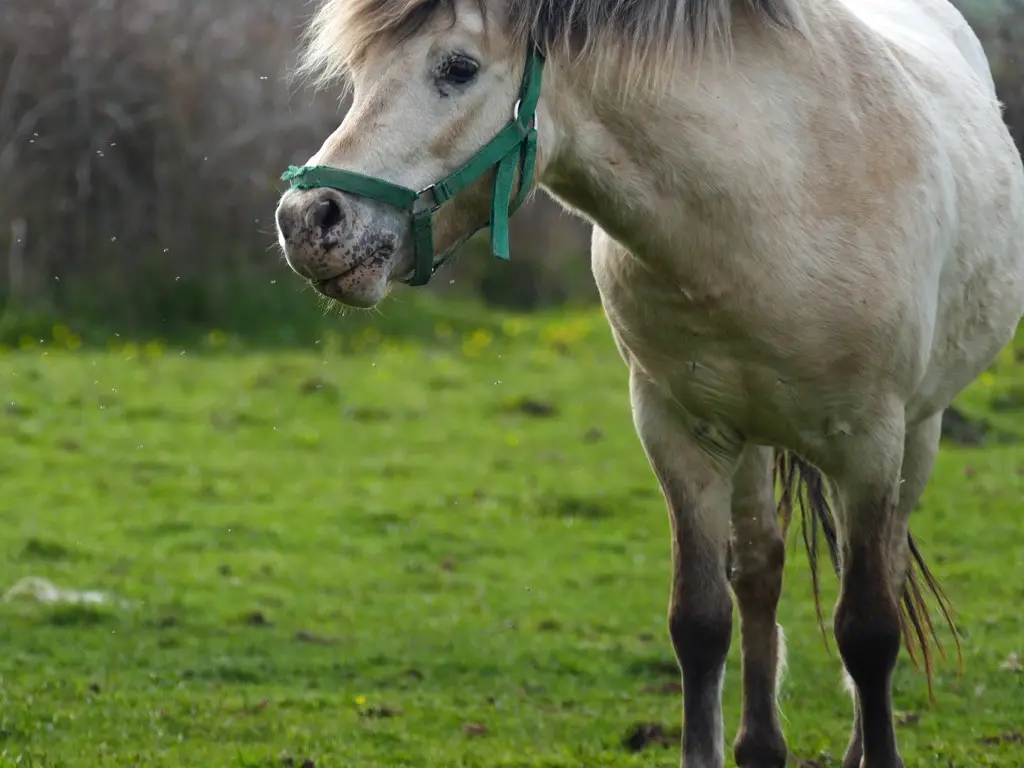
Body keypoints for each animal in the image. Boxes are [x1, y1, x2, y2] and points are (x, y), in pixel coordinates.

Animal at [272, 0, 1024, 765]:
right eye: (361, 72)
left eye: (457, 68)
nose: (308, 221)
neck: (773, 195)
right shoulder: (678, 435)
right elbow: (700, 621)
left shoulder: (871, 444)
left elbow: (868, 629)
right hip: (753, 438)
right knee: (760, 572)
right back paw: (760, 746)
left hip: (917, 434)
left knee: (881, 575)